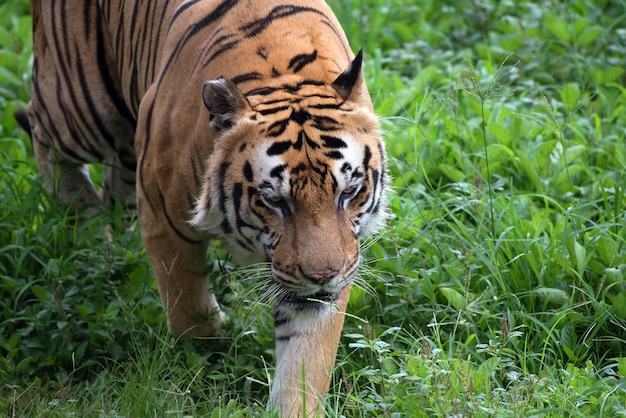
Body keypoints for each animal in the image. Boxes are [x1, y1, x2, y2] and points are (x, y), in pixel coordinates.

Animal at [19, 0, 386, 414]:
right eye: (275, 201)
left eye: (349, 192)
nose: (323, 276)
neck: (284, 73)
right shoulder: (162, 212)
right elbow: (187, 306)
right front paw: (204, 361)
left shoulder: (339, 261)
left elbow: (305, 360)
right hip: (81, 105)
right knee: (41, 127)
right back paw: (84, 224)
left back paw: (108, 249)